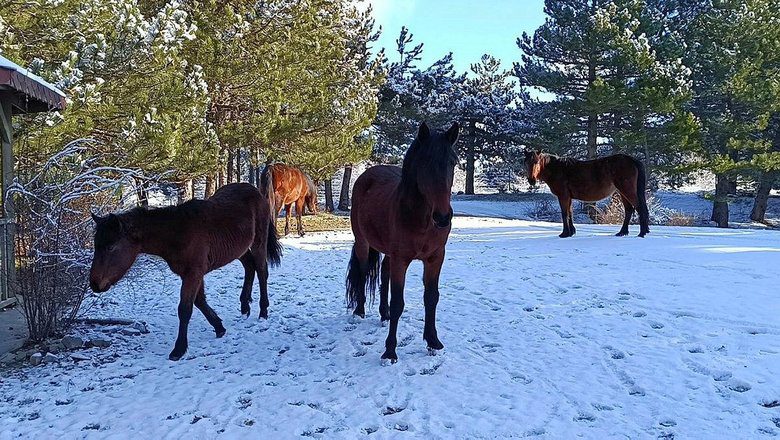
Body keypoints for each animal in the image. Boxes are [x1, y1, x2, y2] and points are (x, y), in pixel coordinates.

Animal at [89, 168, 284, 360]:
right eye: (96, 245)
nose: (94, 284)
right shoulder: (192, 274)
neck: (178, 232)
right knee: (249, 267)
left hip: (259, 242)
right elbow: (199, 301)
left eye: (111, 247)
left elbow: (185, 308)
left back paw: (263, 311)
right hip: (239, 249)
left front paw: (179, 349)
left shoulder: (193, 273)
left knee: (262, 271)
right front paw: (219, 327)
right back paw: (245, 305)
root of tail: (256, 191)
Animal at [346, 122, 458, 362]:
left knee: (384, 273)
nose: (443, 217)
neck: (421, 219)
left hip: (389, 252)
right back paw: (359, 311)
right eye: (425, 162)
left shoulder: (435, 258)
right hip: (362, 242)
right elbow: (398, 302)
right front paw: (390, 351)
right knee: (362, 273)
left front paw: (433, 342)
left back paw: (384, 314)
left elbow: (431, 297)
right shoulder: (401, 260)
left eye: (452, 162)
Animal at [524, 150, 652, 241]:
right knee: (629, 210)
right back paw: (622, 232)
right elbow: (570, 214)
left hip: (627, 190)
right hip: (622, 192)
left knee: (640, 208)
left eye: (536, 162)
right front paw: (571, 232)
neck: (558, 169)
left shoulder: (563, 196)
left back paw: (641, 233)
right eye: (525, 163)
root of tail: (632, 160)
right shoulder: (568, 197)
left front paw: (564, 234)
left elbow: (565, 214)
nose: (531, 180)